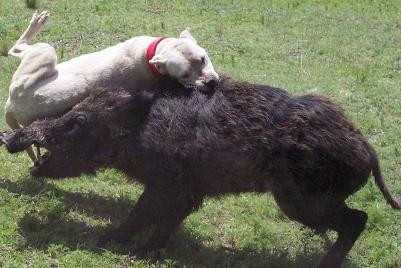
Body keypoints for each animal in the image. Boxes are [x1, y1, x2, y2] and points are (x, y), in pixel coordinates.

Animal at [5, 11, 219, 161]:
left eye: (203, 59)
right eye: (185, 74)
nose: (211, 82)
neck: (152, 57)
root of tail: (11, 105)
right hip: (45, 52)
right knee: (14, 48)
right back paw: (36, 24)